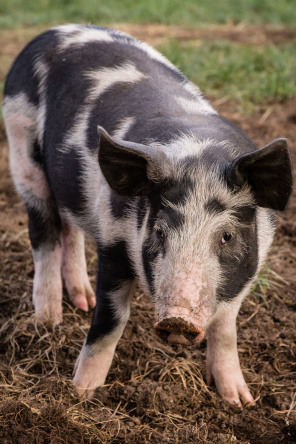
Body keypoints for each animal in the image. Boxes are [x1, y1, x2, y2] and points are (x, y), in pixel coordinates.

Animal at [3, 23, 292, 406]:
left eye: (227, 235)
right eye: (159, 232)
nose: (178, 321)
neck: (200, 155)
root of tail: (54, 31)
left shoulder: (245, 273)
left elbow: (226, 330)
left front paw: (240, 401)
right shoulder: (114, 237)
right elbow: (111, 320)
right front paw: (81, 392)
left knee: (70, 229)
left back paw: (82, 301)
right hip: (22, 148)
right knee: (43, 232)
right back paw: (50, 321)